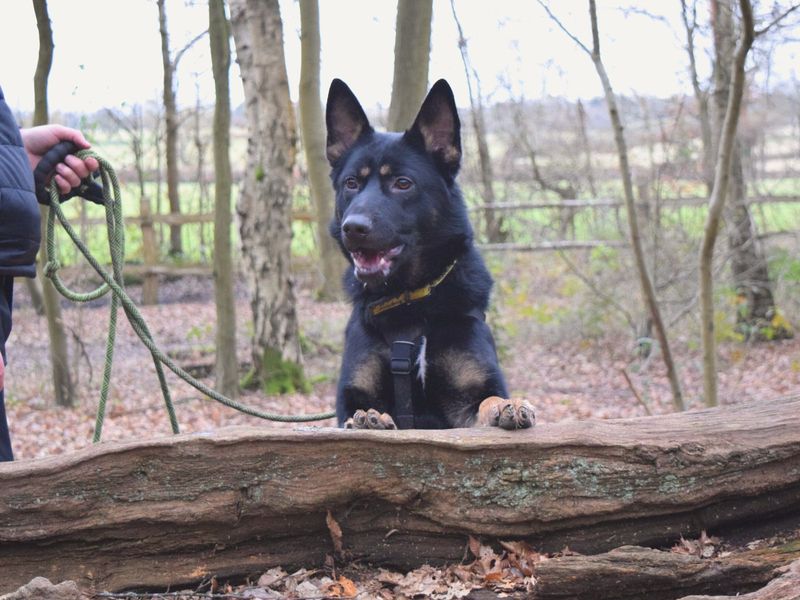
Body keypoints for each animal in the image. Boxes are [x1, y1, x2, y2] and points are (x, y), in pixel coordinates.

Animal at [322, 78, 536, 432]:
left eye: (402, 183)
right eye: (351, 183)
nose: (353, 227)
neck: (410, 304)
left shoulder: (469, 397)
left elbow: (488, 400)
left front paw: (508, 405)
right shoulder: (351, 399)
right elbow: (358, 413)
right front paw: (369, 419)